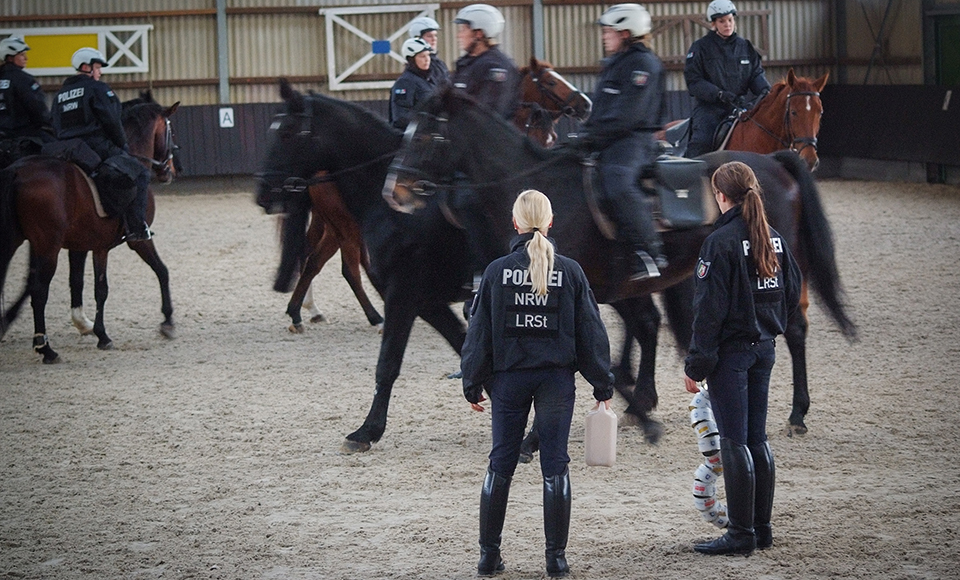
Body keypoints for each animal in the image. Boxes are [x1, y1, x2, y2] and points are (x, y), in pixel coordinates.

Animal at [0, 99, 180, 362]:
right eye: (171, 132)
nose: (171, 171)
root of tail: (16, 170)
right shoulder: (132, 241)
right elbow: (157, 272)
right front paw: (166, 321)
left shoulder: (86, 246)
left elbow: (85, 284)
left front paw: (92, 329)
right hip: (48, 247)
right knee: (39, 291)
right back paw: (46, 349)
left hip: (20, 241)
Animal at [258, 80, 472, 454]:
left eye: (286, 132)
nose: (262, 193)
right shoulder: (424, 300)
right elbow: (461, 347)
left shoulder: (405, 294)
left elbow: (388, 363)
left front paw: (367, 430)